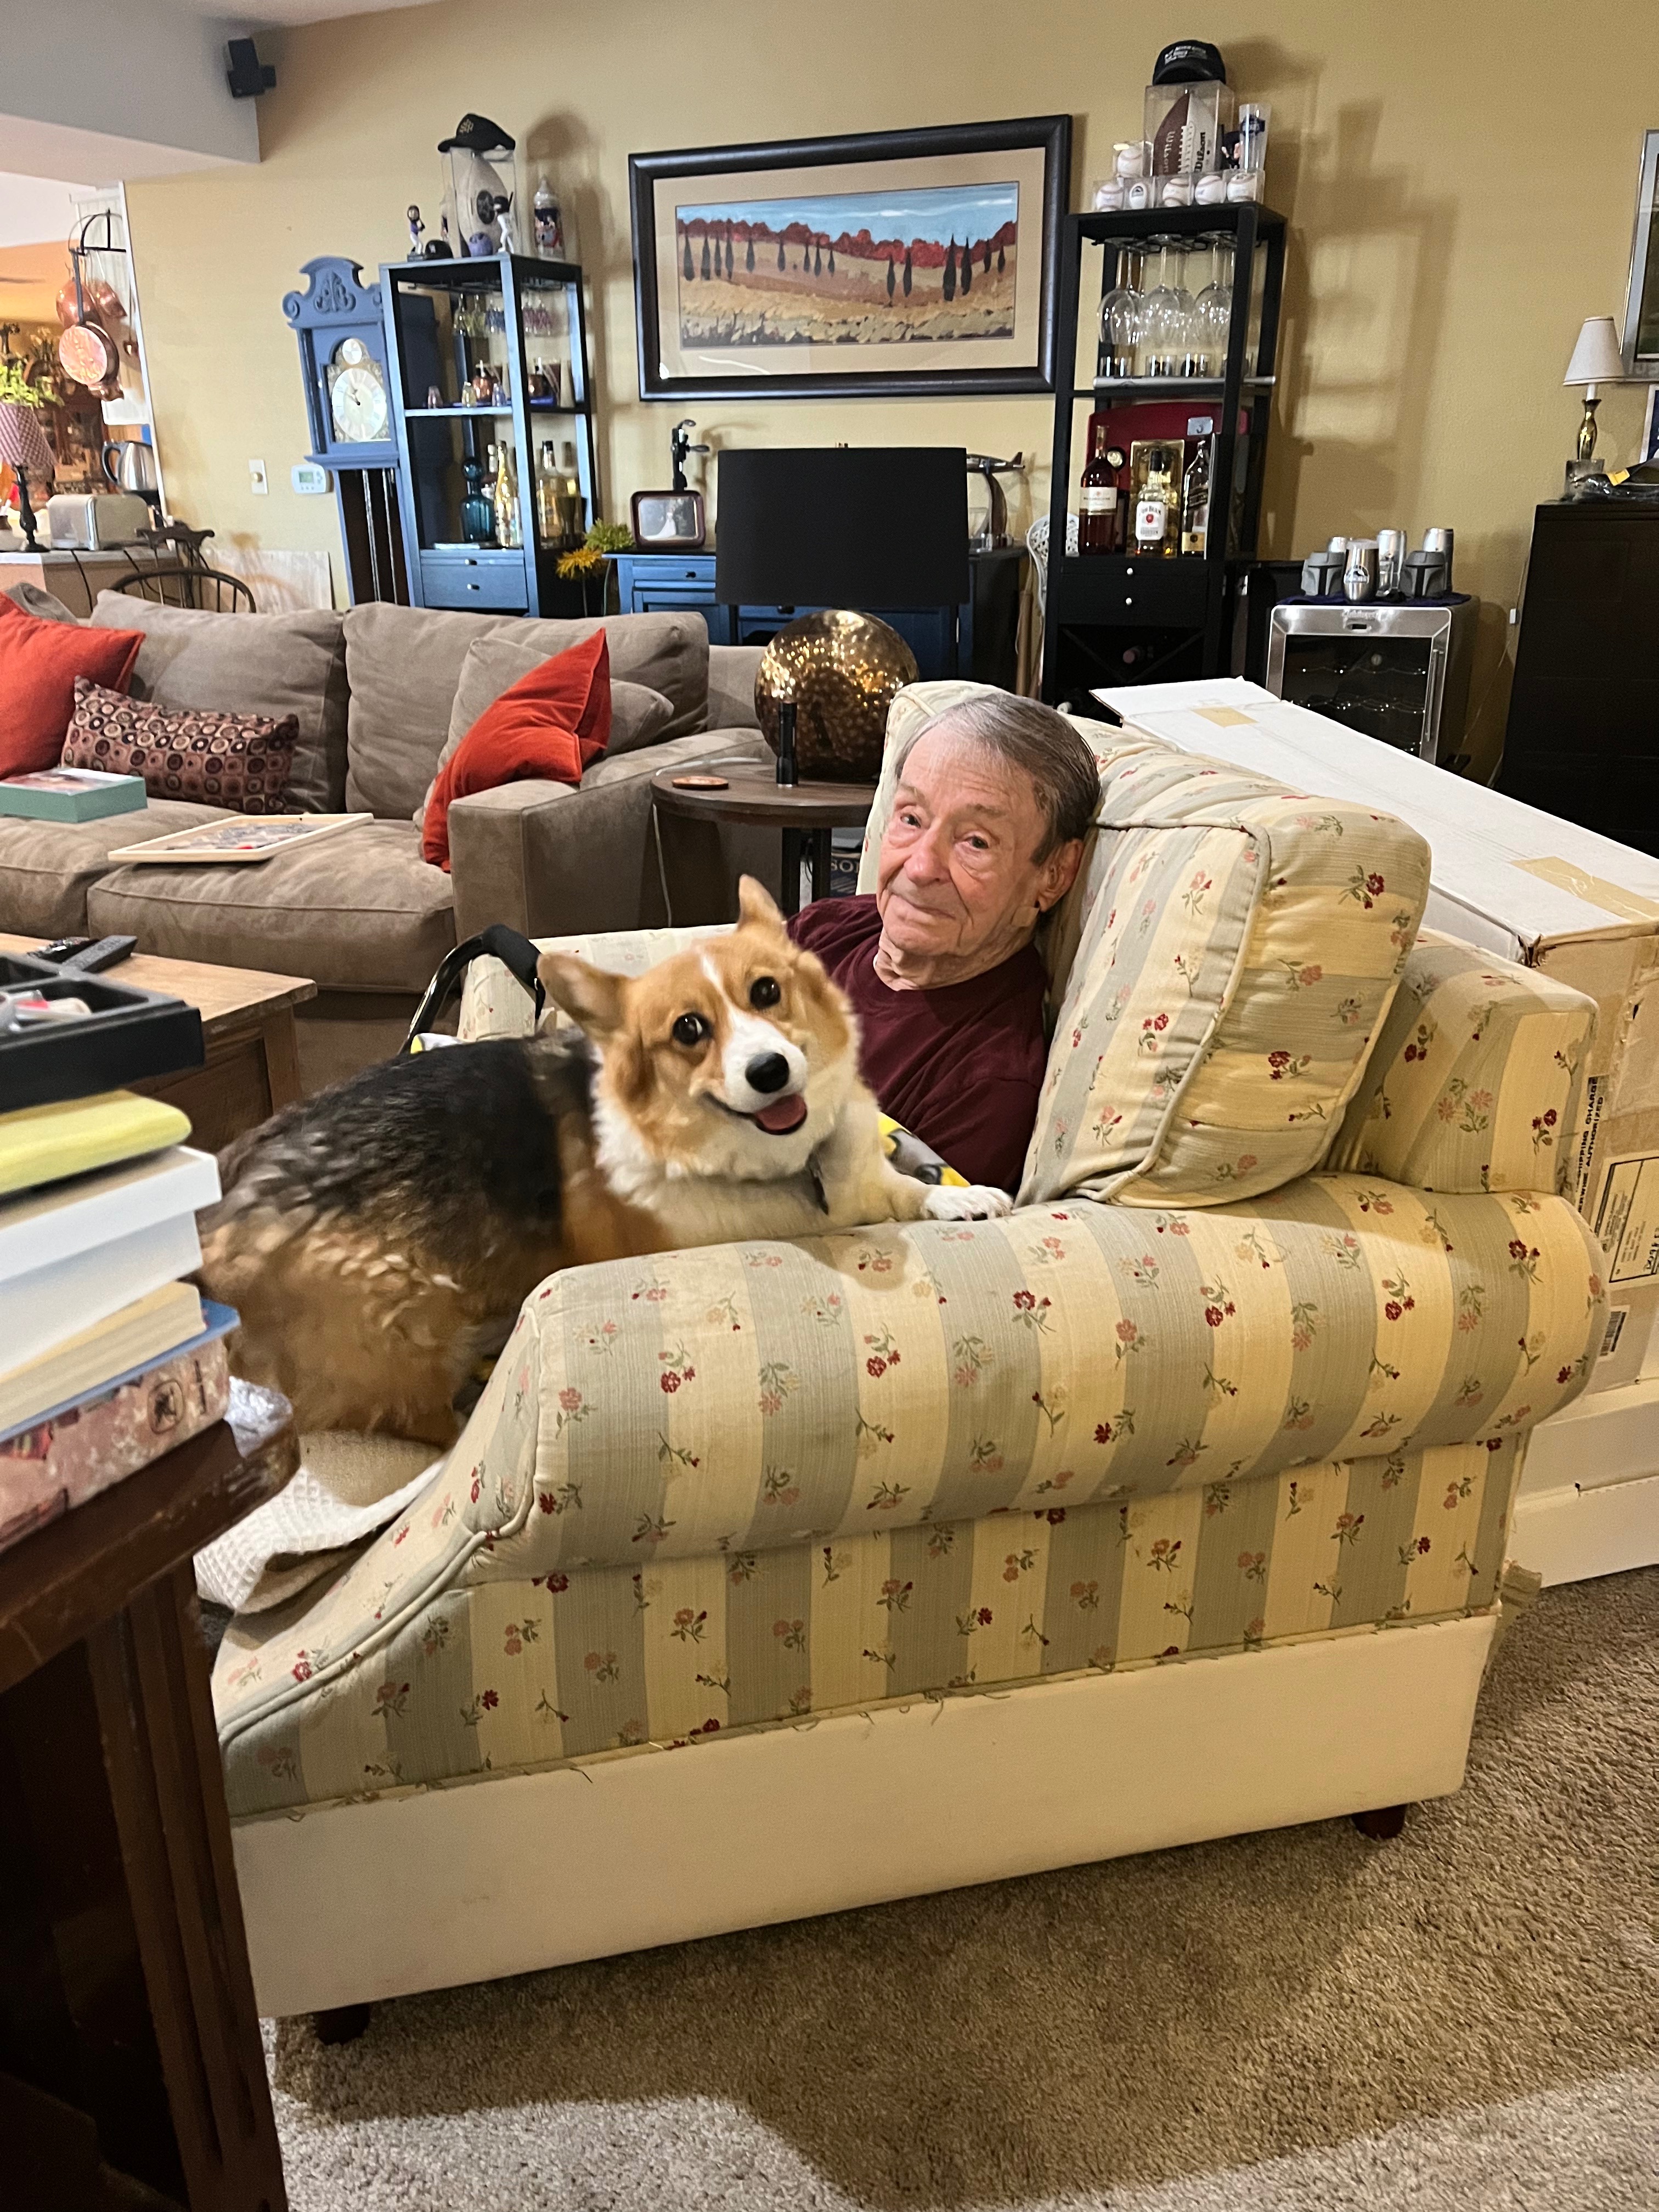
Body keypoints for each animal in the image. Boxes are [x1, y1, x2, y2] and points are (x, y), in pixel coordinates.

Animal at [199, 877, 1011, 1444]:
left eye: (767, 992)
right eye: (689, 1030)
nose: (771, 1072)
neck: (775, 1159)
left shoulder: (857, 1181)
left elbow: (900, 1189)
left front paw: (958, 1198)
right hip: (404, 1313)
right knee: (427, 1426)